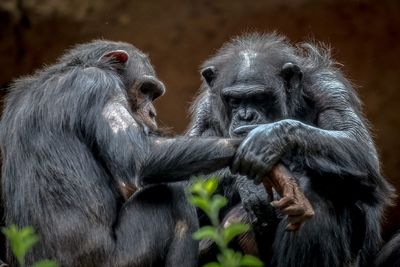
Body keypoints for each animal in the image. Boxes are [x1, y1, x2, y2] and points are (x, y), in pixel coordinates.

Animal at [0, 39, 241, 267]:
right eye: (145, 90)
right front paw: (248, 144)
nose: (152, 113)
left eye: (153, 94)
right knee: (174, 198)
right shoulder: (100, 84)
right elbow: (139, 157)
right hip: (116, 258)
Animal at [189, 33, 396, 267]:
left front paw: (268, 138)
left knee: (318, 188)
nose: (246, 116)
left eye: (259, 98)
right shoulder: (205, 112)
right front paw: (249, 184)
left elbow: (359, 147)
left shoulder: (330, 90)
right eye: (234, 100)